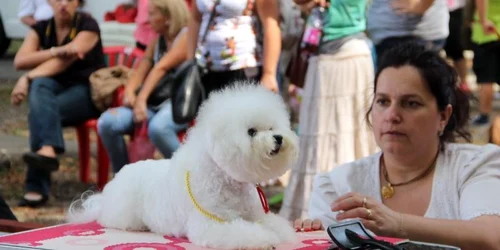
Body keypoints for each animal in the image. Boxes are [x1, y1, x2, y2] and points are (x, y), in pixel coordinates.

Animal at [68, 83, 298, 249]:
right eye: (251, 131)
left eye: (272, 127)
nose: (278, 138)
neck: (223, 177)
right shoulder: (211, 224)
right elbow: (244, 232)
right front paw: (264, 238)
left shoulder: (255, 214)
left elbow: (274, 223)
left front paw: (280, 231)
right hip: (123, 213)